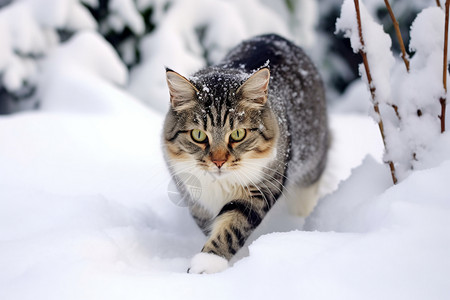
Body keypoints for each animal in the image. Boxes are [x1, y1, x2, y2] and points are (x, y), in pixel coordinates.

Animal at [163, 34, 328, 274]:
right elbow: (210, 225)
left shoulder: (261, 187)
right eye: (199, 135)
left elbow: (231, 228)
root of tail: (275, 37)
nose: (218, 161)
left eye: (238, 134)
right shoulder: (193, 195)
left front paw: (206, 263)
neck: (220, 185)